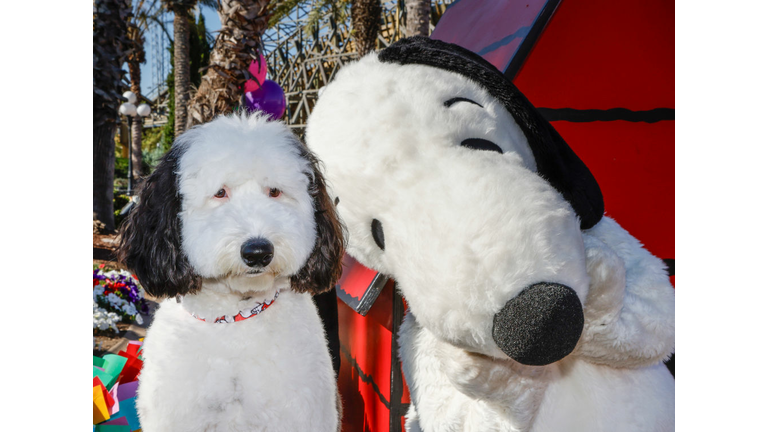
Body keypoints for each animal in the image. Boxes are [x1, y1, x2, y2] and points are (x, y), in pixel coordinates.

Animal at [306, 37, 672, 432]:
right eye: (378, 234)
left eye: (482, 145)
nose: (539, 318)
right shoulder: (414, 346)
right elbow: (460, 414)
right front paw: (495, 377)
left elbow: (656, 315)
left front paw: (601, 281)